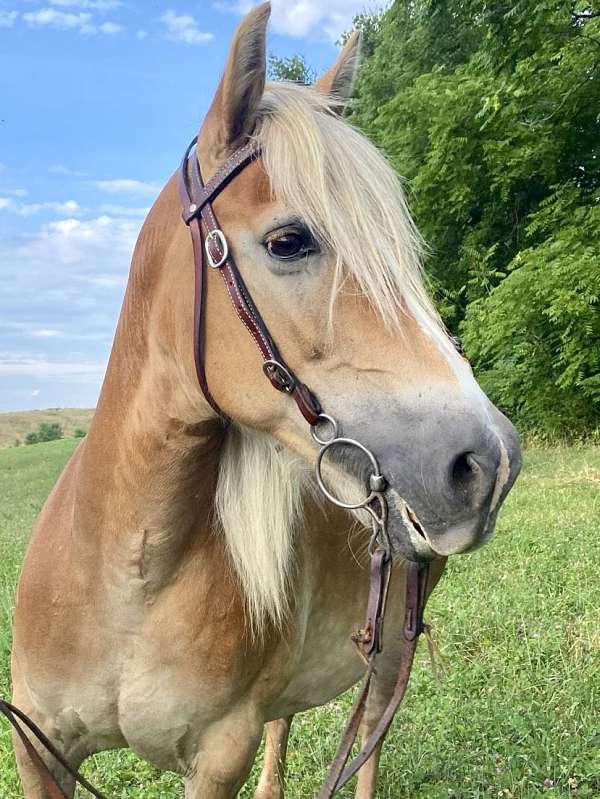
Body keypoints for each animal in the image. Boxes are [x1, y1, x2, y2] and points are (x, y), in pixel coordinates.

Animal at [9, 3, 520, 796]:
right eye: (288, 241)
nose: (488, 463)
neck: (124, 580)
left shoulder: (218, 753)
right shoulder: (40, 749)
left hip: (391, 652)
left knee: (370, 737)